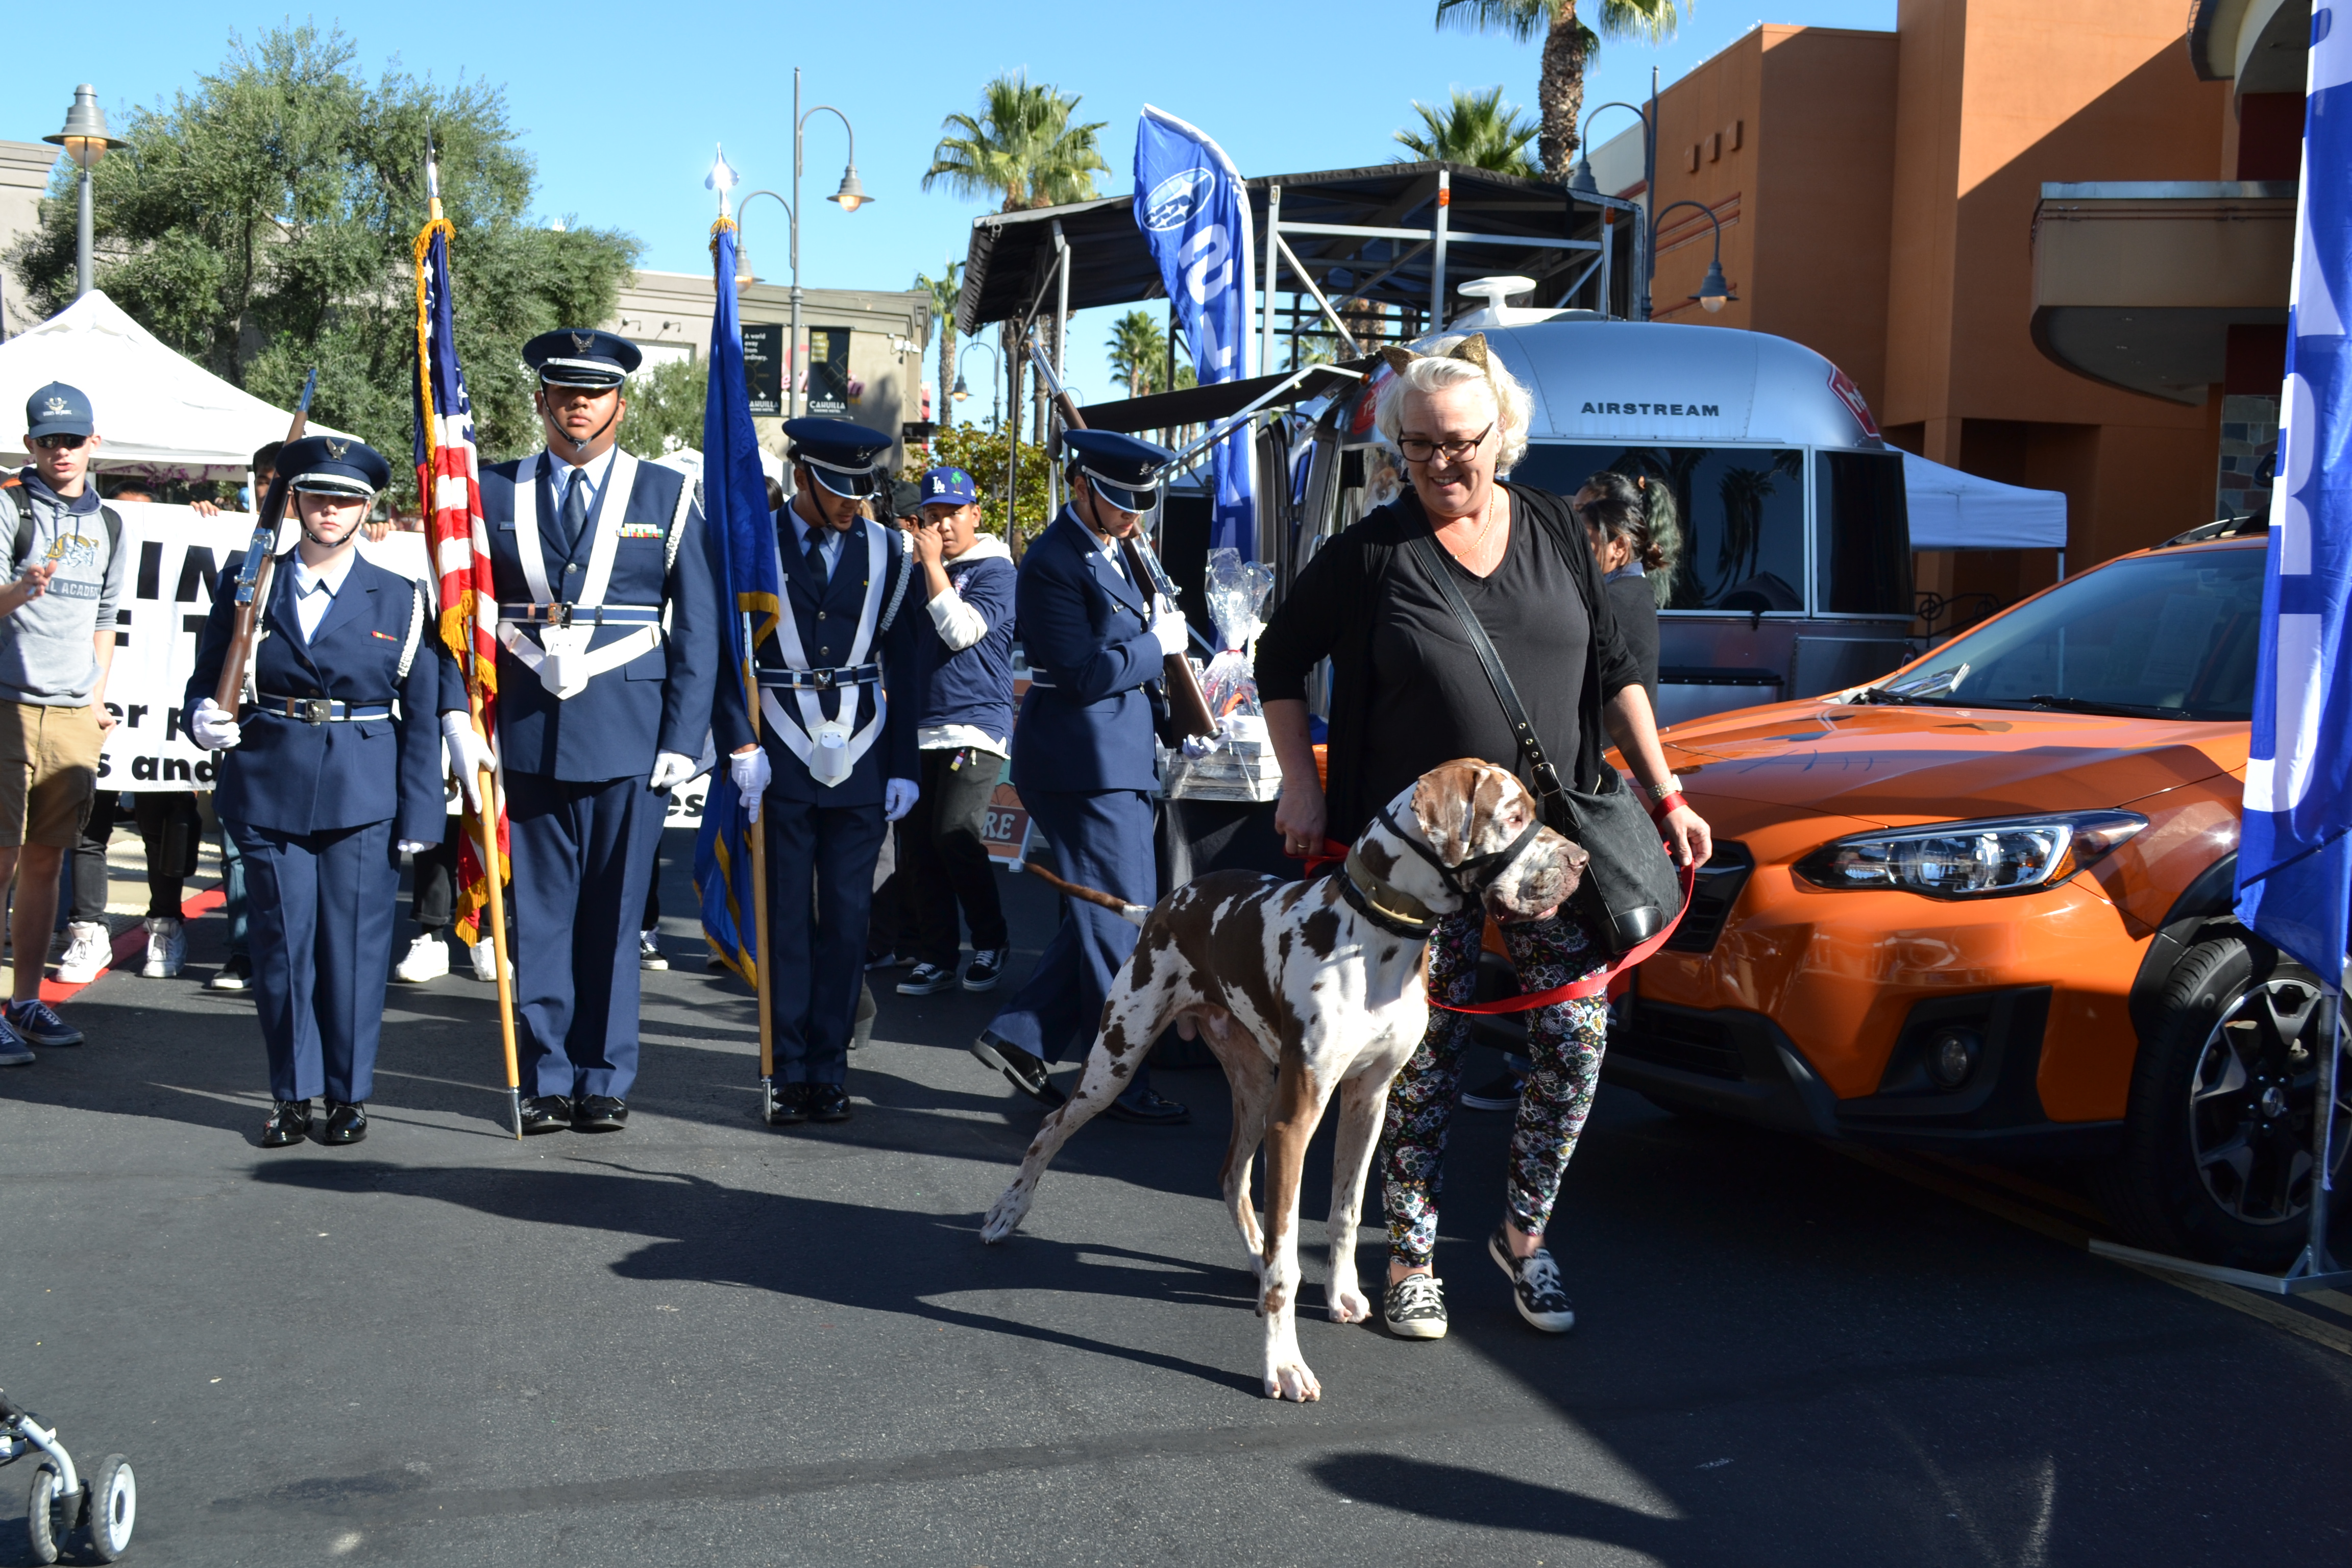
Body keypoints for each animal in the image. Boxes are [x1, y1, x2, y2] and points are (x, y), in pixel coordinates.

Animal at [973, 757, 1580, 1401]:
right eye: (1512, 815)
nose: (1581, 862)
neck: (1376, 937)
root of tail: (1162, 905)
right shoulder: (1296, 1119)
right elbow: (1289, 1263)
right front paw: (1284, 1363)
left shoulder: (1367, 1103)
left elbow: (1345, 1213)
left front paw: (1341, 1292)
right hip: (1118, 1063)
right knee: (1050, 1127)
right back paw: (1008, 1212)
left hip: (1255, 1087)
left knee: (1231, 1176)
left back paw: (1253, 1254)